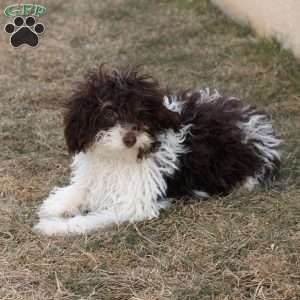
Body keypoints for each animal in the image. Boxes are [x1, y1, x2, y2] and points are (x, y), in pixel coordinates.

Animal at [33, 65, 282, 234]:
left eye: (141, 113)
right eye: (109, 112)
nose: (130, 138)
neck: (118, 157)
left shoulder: (134, 205)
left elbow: (92, 219)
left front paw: (52, 227)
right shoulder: (97, 175)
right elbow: (81, 188)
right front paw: (58, 204)